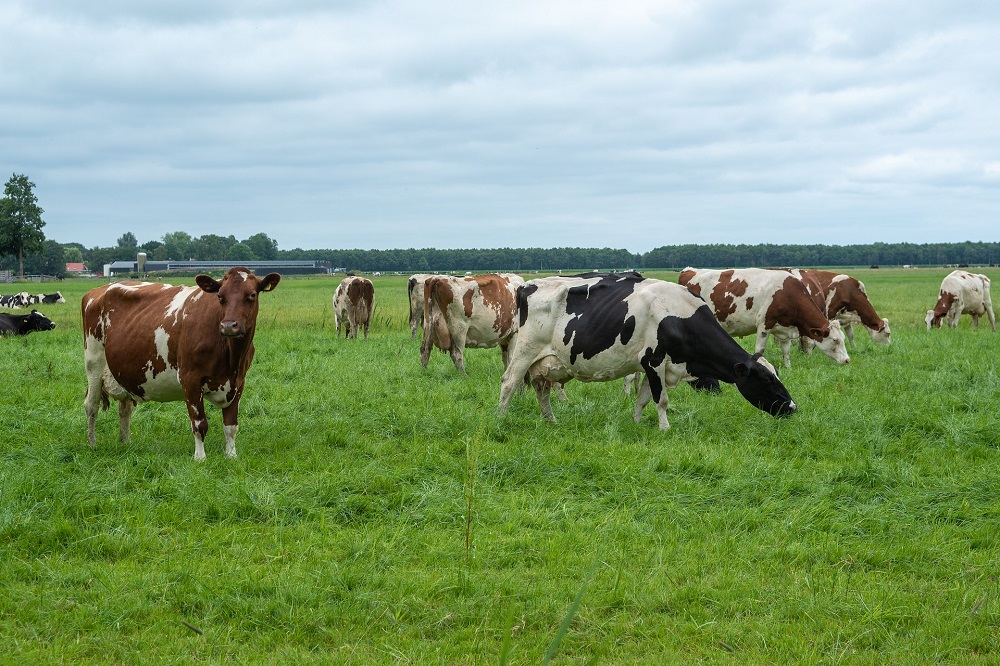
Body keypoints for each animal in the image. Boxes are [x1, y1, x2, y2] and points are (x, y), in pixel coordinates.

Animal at [79, 264, 278, 456]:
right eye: (220, 296)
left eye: (252, 295)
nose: (229, 326)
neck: (231, 357)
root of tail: (99, 289)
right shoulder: (190, 379)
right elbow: (199, 424)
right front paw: (200, 458)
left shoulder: (238, 382)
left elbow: (231, 426)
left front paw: (231, 455)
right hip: (93, 362)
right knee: (91, 405)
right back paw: (91, 444)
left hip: (122, 371)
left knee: (125, 408)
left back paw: (125, 443)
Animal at [500, 272, 796, 428]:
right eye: (767, 380)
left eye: (777, 375)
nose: (792, 407)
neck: (679, 316)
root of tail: (526, 285)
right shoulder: (654, 361)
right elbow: (661, 399)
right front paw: (665, 429)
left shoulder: (653, 365)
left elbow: (643, 399)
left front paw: (637, 423)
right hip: (525, 351)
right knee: (509, 383)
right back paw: (500, 420)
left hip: (546, 362)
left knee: (542, 389)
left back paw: (551, 421)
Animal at [676, 266, 848, 368]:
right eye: (835, 340)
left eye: (843, 338)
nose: (847, 360)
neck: (787, 293)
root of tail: (689, 270)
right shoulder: (764, 325)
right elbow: (760, 349)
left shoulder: (784, 329)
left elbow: (786, 350)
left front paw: (788, 367)